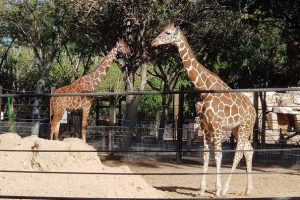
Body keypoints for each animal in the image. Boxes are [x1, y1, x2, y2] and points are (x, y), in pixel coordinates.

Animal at [151, 22, 256, 196]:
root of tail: (254, 111)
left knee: (239, 152)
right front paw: (201, 189)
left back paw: (226, 189)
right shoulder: (205, 126)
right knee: (249, 150)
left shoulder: (217, 126)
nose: (153, 43)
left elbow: (219, 155)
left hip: (245, 127)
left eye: (168, 33)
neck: (204, 90)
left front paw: (217, 190)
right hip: (236, 128)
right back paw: (248, 189)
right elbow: (207, 155)